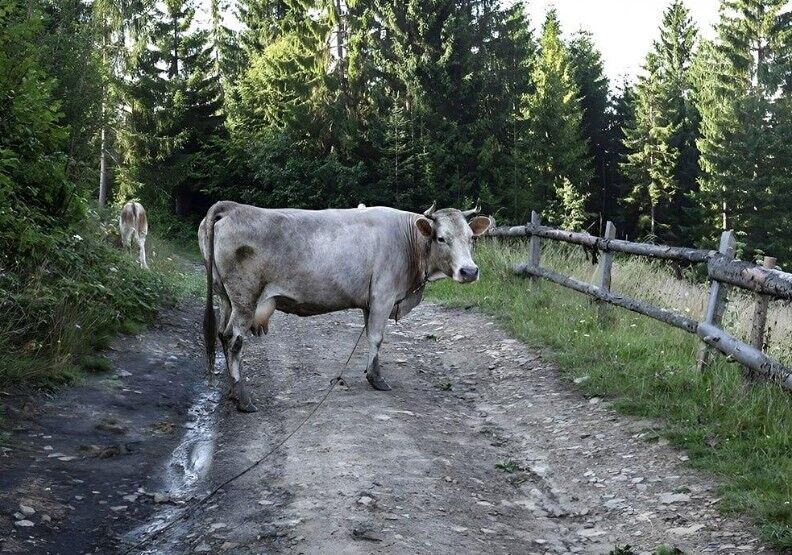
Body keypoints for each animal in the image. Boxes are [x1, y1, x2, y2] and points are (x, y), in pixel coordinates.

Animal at [200, 202, 488, 410]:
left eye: (471, 238)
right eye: (441, 238)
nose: (469, 271)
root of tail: (232, 207)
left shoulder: (370, 301)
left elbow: (369, 335)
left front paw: (370, 372)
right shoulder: (383, 296)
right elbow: (376, 337)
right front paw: (377, 379)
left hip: (226, 298)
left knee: (223, 336)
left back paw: (232, 391)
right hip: (244, 299)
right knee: (234, 340)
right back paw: (244, 399)